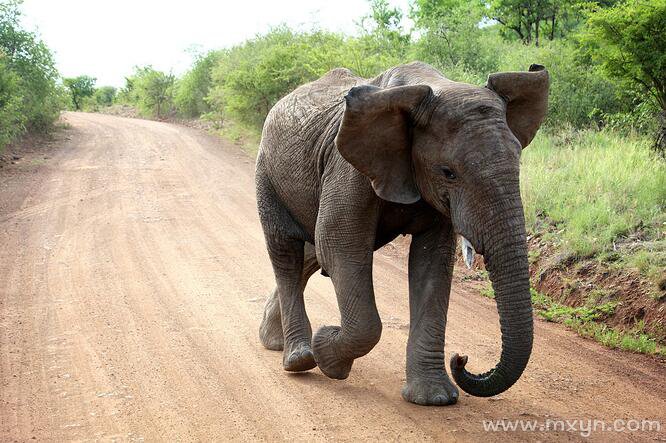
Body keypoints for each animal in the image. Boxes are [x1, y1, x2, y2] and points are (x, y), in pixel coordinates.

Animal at [252, 61, 548, 406]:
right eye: (448, 172)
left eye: (518, 164)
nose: (461, 359)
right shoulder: (347, 166)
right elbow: (339, 245)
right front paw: (327, 352)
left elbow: (432, 263)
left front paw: (433, 399)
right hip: (267, 172)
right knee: (286, 251)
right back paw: (298, 358)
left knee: (309, 256)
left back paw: (274, 341)